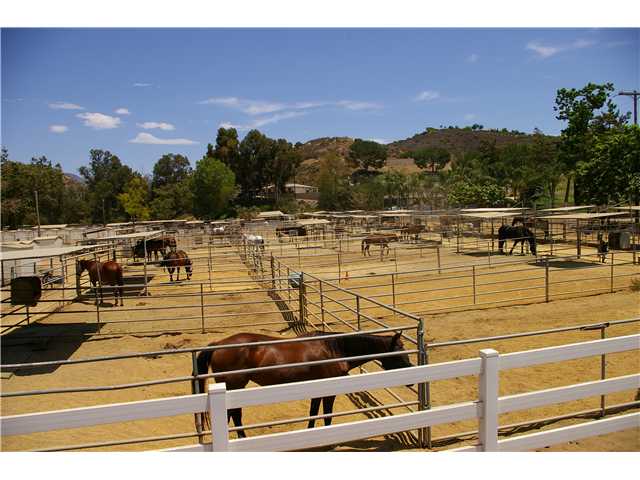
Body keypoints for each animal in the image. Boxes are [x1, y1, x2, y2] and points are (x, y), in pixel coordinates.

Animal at [193, 331, 413, 438]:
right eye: (399, 352)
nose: (411, 380)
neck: (335, 348)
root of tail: (218, 345)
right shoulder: (330, 390)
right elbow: (327, 414)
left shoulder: (316, 387)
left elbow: (314, 412)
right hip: (234, 386)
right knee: (234, 415)